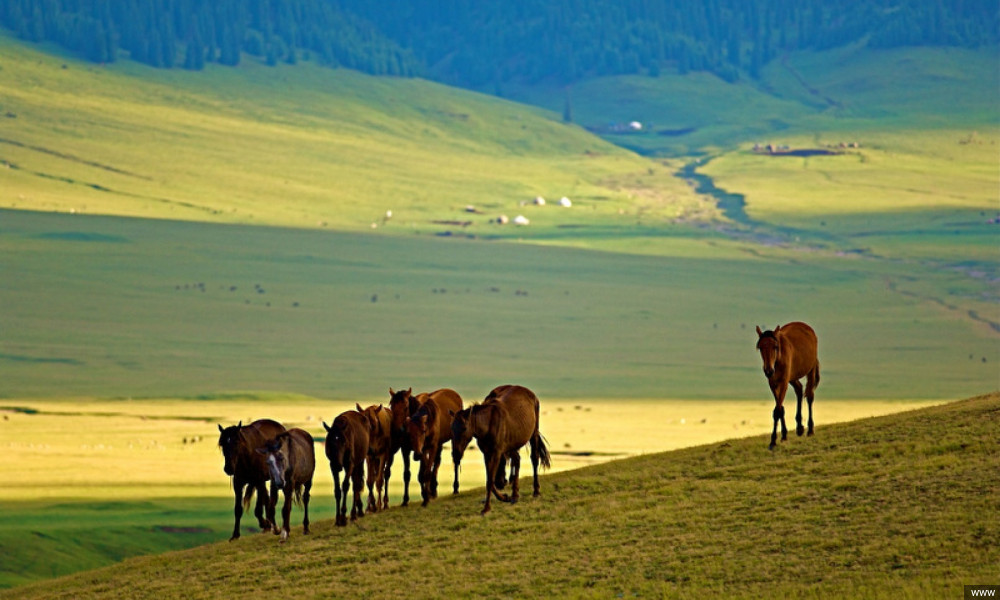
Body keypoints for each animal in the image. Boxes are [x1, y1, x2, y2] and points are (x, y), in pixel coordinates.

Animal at [452, 384, 552, 516]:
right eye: (452, 429)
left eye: (463, 428)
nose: (456, 453)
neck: (488, 424)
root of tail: (529, 393)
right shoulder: (487, 454)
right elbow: (490, 479)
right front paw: (505, 497)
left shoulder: (496, 453)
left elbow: (490, 481)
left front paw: (486, 508)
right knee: (517, 460)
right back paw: (514, 495)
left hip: (533, 434)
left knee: (534, 459)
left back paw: (536, 491)